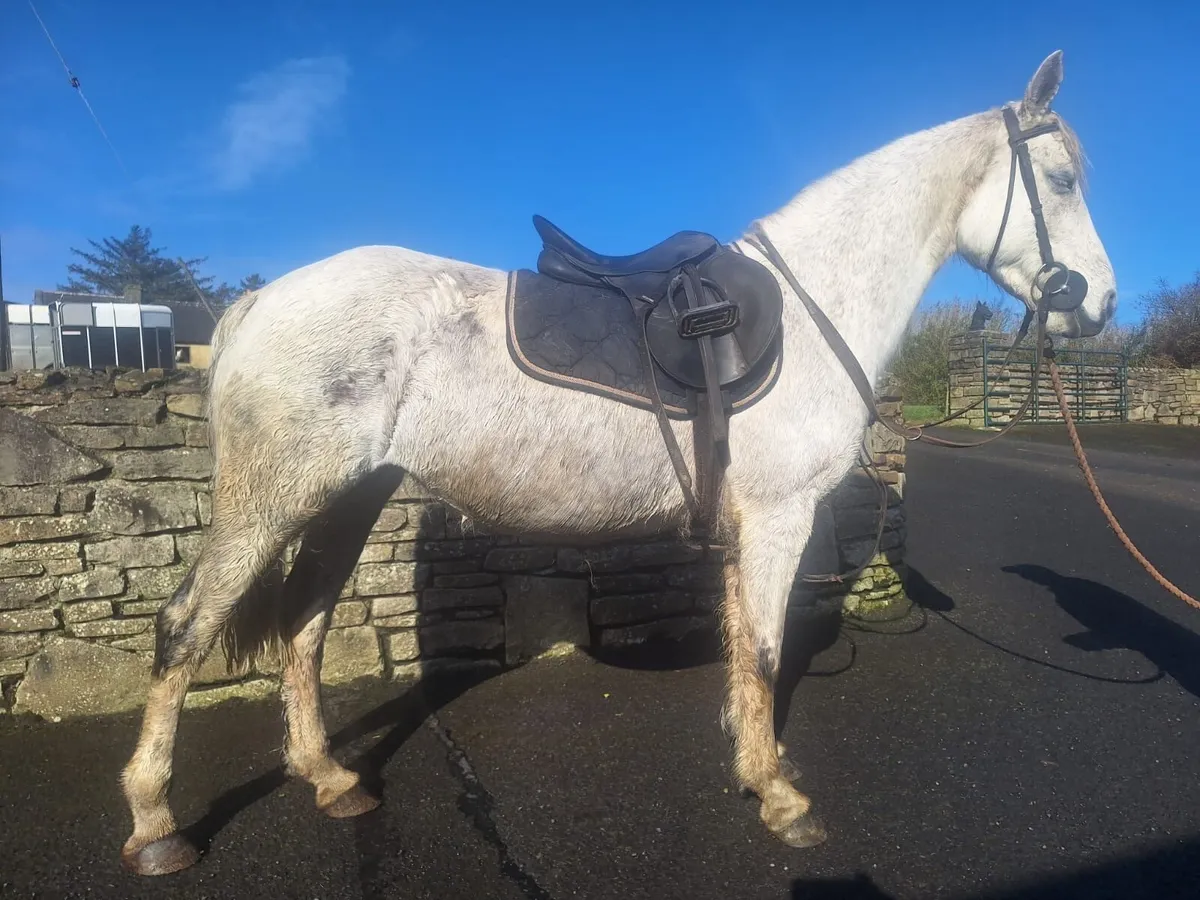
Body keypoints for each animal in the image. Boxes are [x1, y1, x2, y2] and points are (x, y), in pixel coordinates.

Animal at [118, 50, 1116, 875]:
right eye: (1063, 179)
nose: (1100, 303)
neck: (811, 304)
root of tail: (260, 302)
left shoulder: (749, 523)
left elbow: (741, 647)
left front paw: (753, 766)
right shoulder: (781, 514)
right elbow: (763, 646)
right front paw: (781, 797)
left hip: (346, 500)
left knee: (304, 624)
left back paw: (329, 778)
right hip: (273, 499)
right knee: (185, 627)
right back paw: (156, 825)